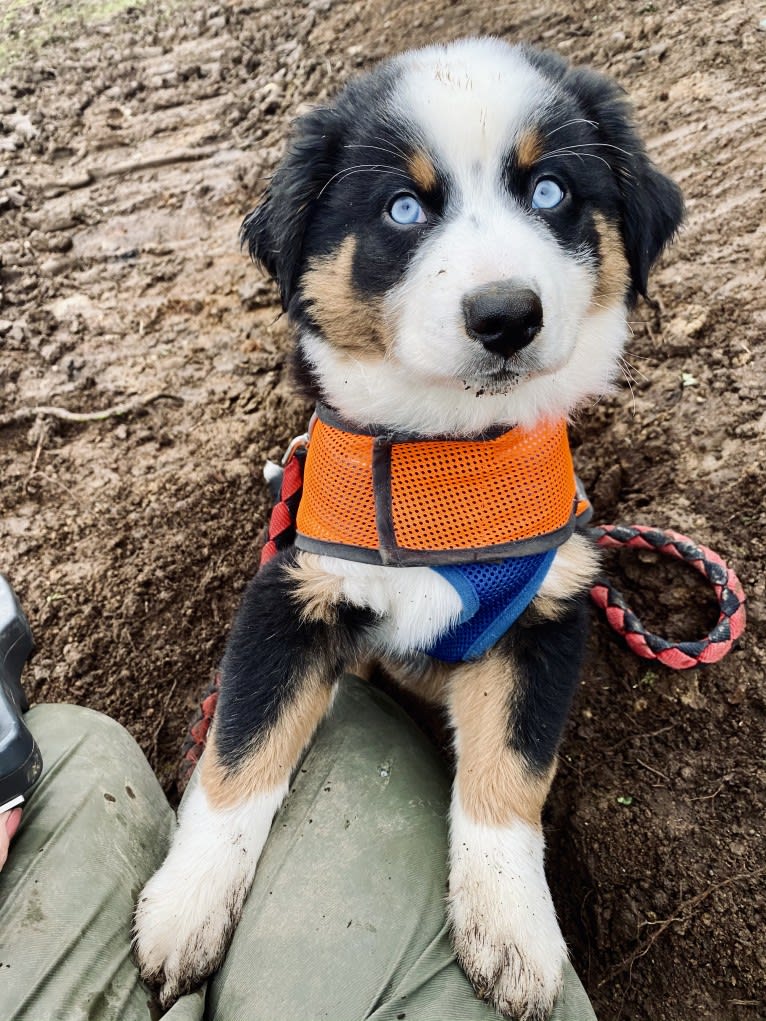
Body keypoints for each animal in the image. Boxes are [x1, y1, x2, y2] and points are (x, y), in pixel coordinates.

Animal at [133, 35, 682, 1016]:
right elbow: (238, 752)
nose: (505, 314)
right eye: (403, 207)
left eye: (552, 192)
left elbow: (510, 772)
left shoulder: (547, 608)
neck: (447, 469)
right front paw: (184, 909)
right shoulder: (293, 590)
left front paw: (511, 929)